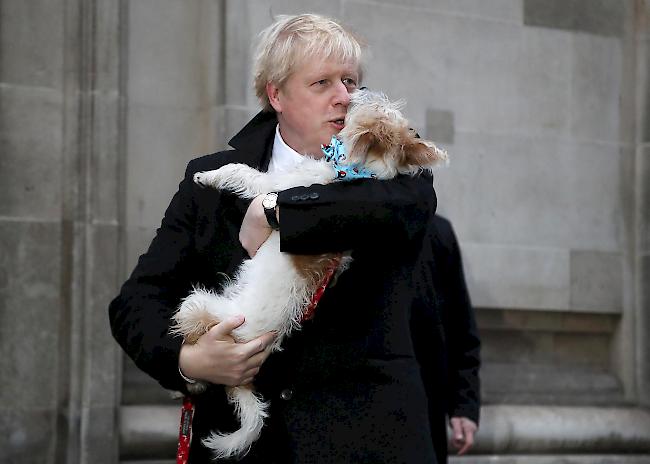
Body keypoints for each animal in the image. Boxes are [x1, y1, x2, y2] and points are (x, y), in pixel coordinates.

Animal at [170, 89, 448, 458]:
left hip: (200, 304)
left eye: (371, 104)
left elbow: (241, 172)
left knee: (190, 328)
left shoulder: (275, 185)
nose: (355, 91)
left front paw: (208, 176)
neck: (352, 170)